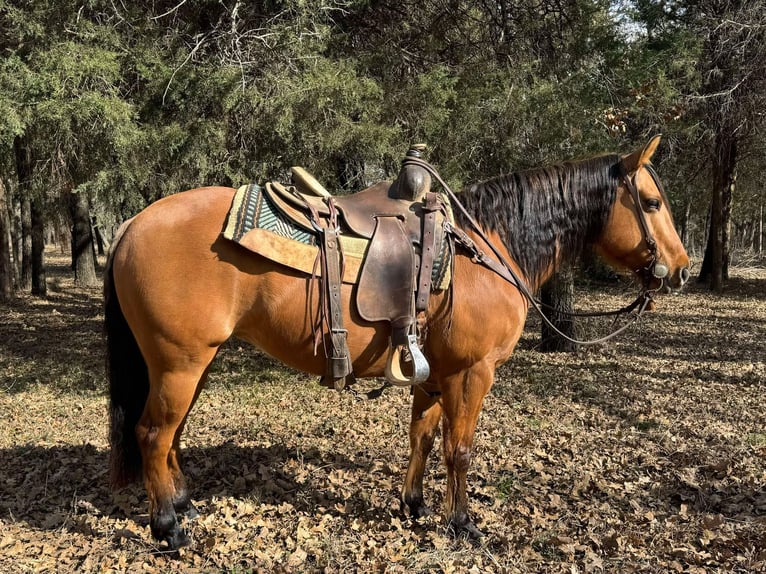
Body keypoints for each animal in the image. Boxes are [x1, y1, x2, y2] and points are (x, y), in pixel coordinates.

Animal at [105, 135, 692, 548]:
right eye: (651, 202)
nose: (682, 268)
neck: (485, 249)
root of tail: (131, 223)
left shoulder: (434, 373)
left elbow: (423, 439)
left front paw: (415, 506)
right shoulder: (472, 373)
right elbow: (459, 449)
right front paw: (462, 524)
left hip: (192, 365)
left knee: (173, 435)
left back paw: (183, 504)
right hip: (179, 363)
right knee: (153, 434)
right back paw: (168, 527)